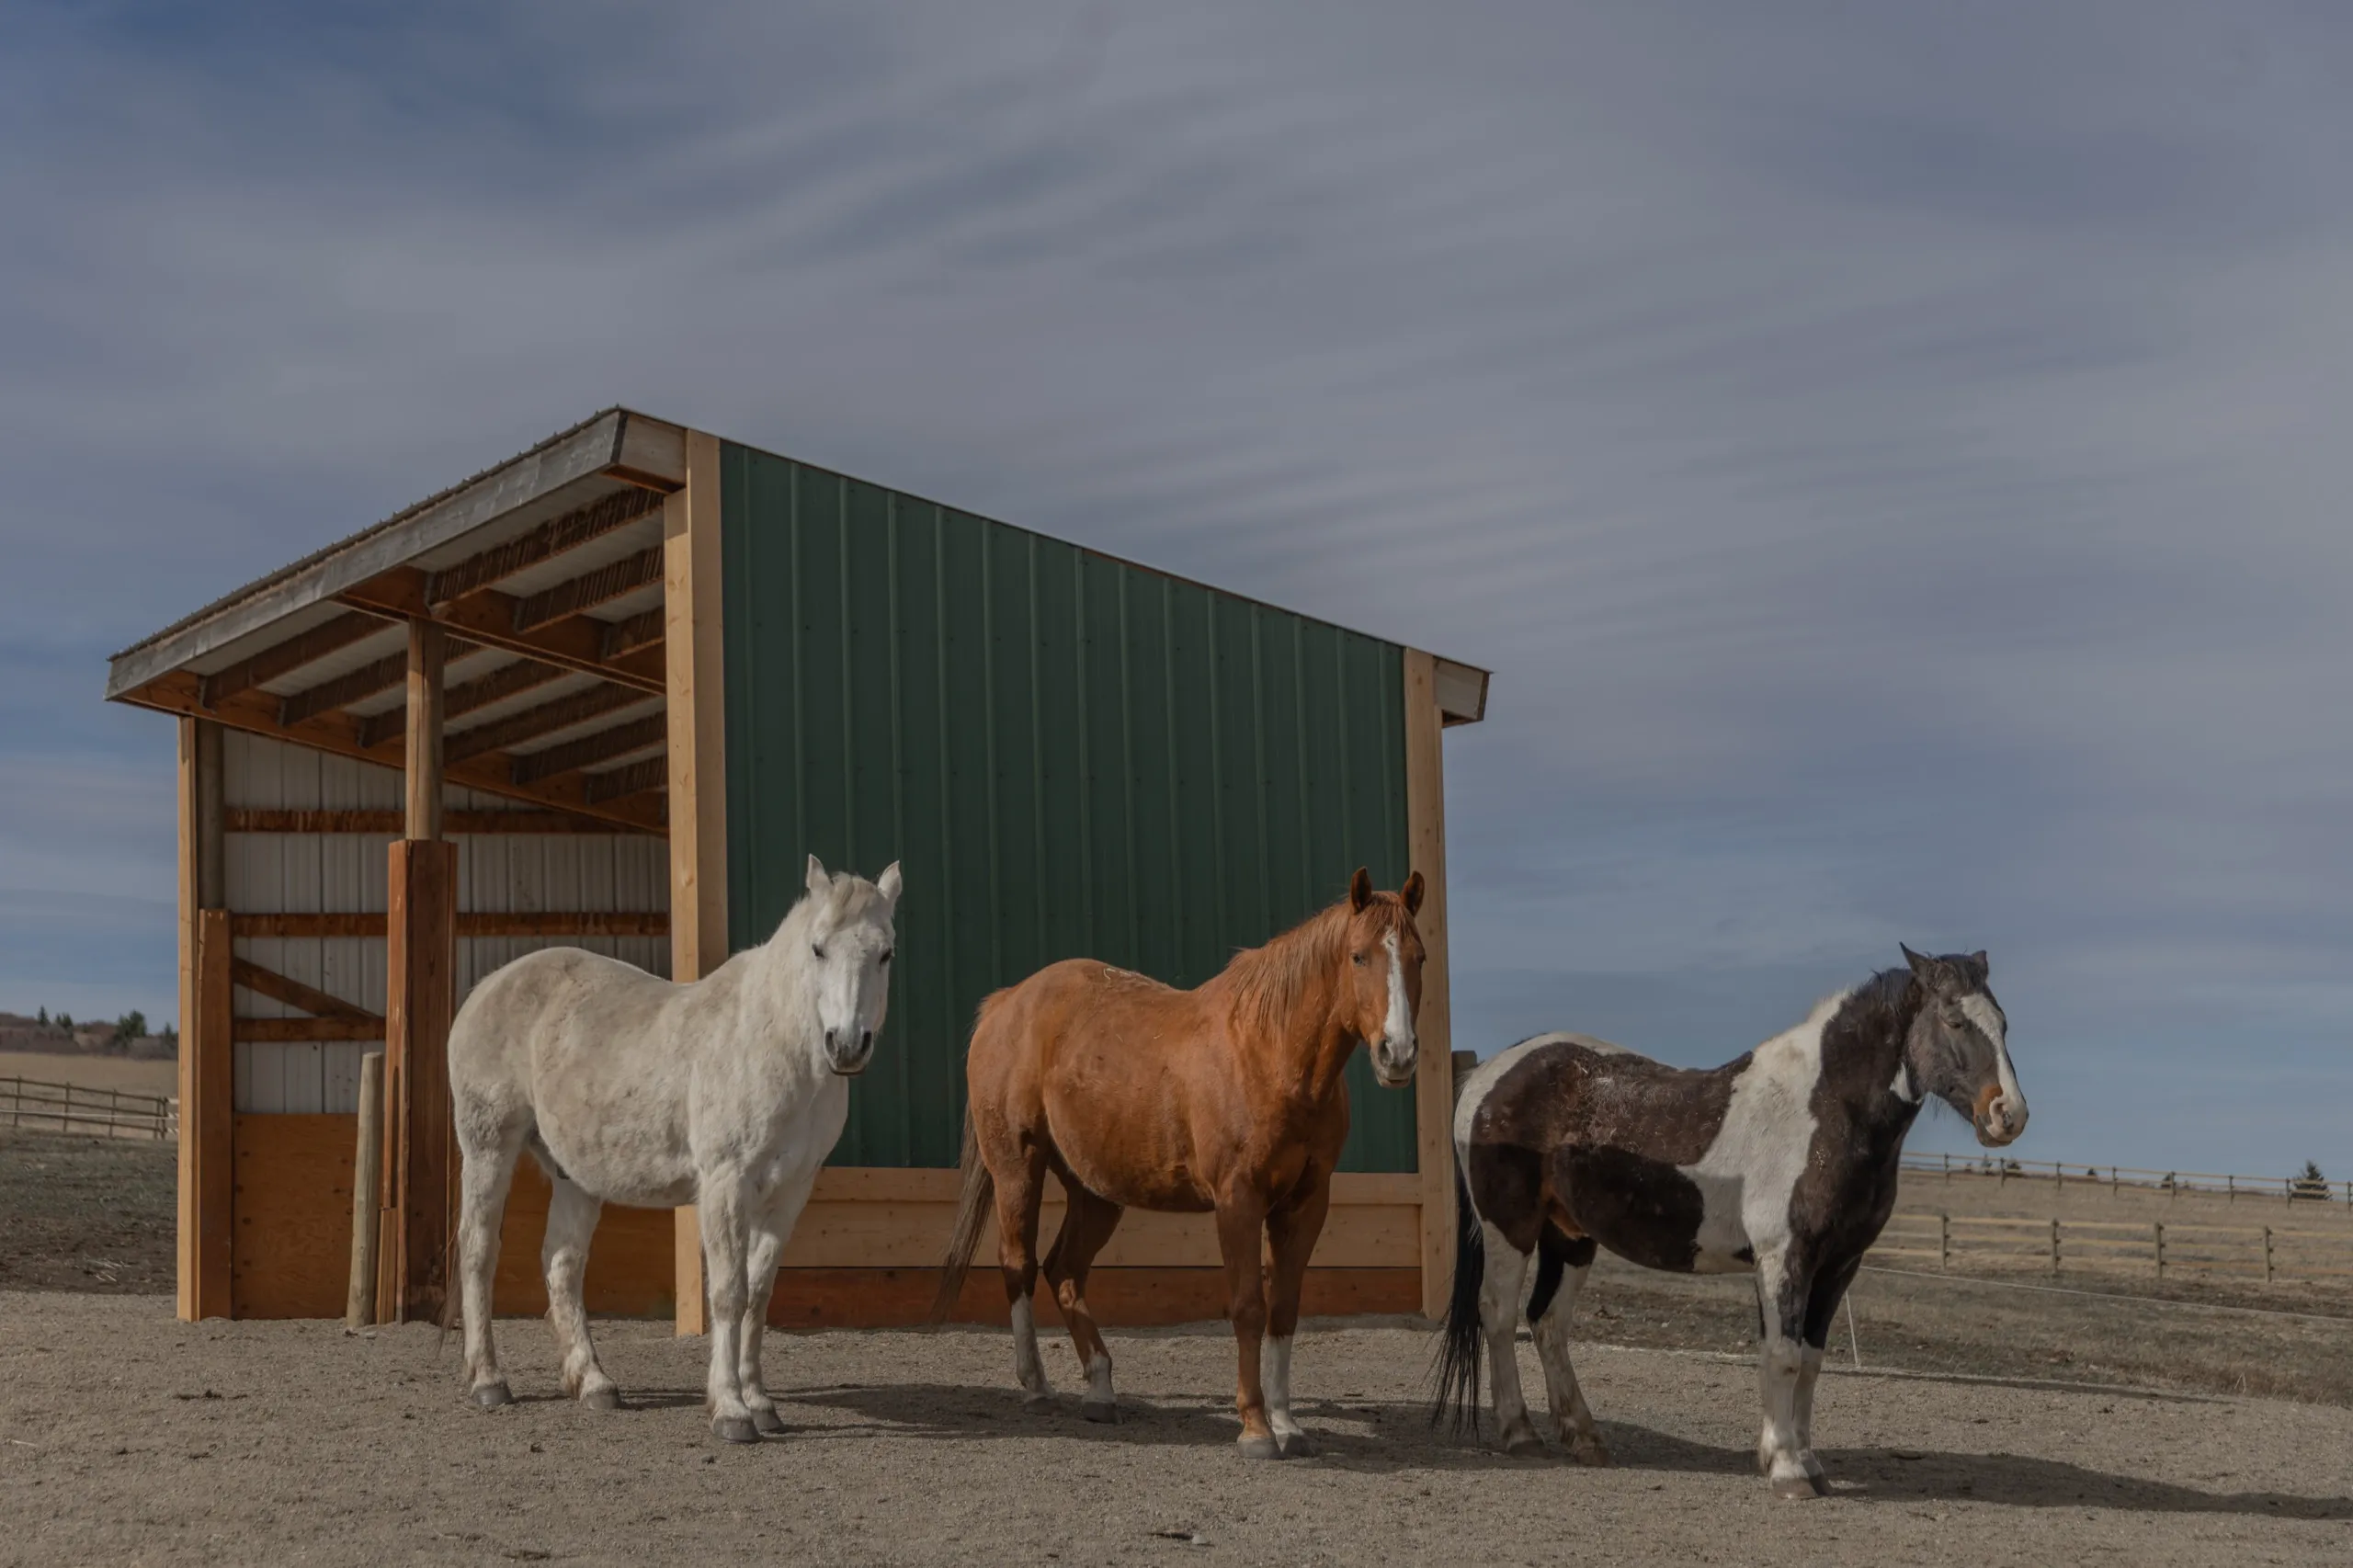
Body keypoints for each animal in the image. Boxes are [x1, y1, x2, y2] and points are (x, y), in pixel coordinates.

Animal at [447, 854, 901, 1443]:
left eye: (886, 953)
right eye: (818, 947)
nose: (846, 1045)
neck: (772, 1045)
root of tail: (489, 986)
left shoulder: (790, 1194)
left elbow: (758, 1294)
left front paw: (761, 1403)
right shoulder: (726, 1184)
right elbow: (728, 1293)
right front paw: (731, 1411)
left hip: (574, 1177)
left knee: (563, 1265)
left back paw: (595, 1384)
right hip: (488, 1148)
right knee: (479, 1251)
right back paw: (488, 1381)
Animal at [933, 867, 1426, 1459]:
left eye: (1419, 957)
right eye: (1358, 956)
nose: (1397, 1053)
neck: (1271, 1055)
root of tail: (1006, 1003)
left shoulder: (1305, 1205)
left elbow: (1283, 1311)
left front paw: (1288, 1425)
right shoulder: (1238, 1200)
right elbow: (1248, 1307)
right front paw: (1255, 1428)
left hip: (1095, 1192)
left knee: (1064, 1270)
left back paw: (1101, 1391)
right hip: (1016, 1170)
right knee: (1019, 1264)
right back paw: (1036, 1387)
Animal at [1434, 945, 2026, 1498]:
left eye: (2002, 1023)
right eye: (1954, 1019)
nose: (2009, 1115)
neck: (1823, 1112)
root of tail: (1487, 1074)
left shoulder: (1838, 1266)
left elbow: (1810, 1361)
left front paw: (1806, 1462)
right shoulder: (1784, 1258)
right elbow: (1783, 1356)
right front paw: (1787, 1470)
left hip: (1571, 1236)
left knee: (1548, 1322)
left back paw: (1585, 1438)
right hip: (1509, 1228)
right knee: (1499, 1314)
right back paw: (1520, 1432)